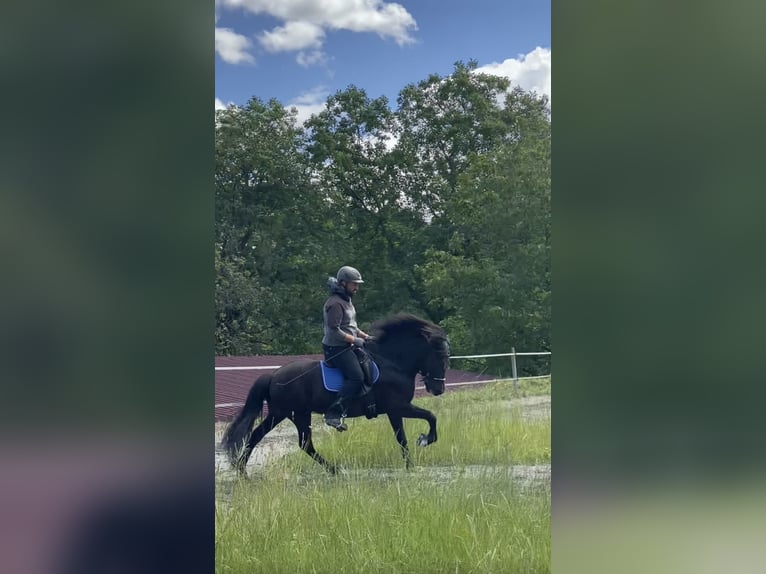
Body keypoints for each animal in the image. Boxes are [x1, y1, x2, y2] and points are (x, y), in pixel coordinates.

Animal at [221, 313, 450, 475]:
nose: (438, 389)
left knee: (284, 440)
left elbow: (404, 436)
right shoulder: (398, 407)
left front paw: (411, 464)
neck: (392, 364)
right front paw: (424, 441)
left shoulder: (395, 411)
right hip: (291, 413)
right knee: (292, 442)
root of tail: (274, 375)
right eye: (441, 356)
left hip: (287, 413)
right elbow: (428, 419)